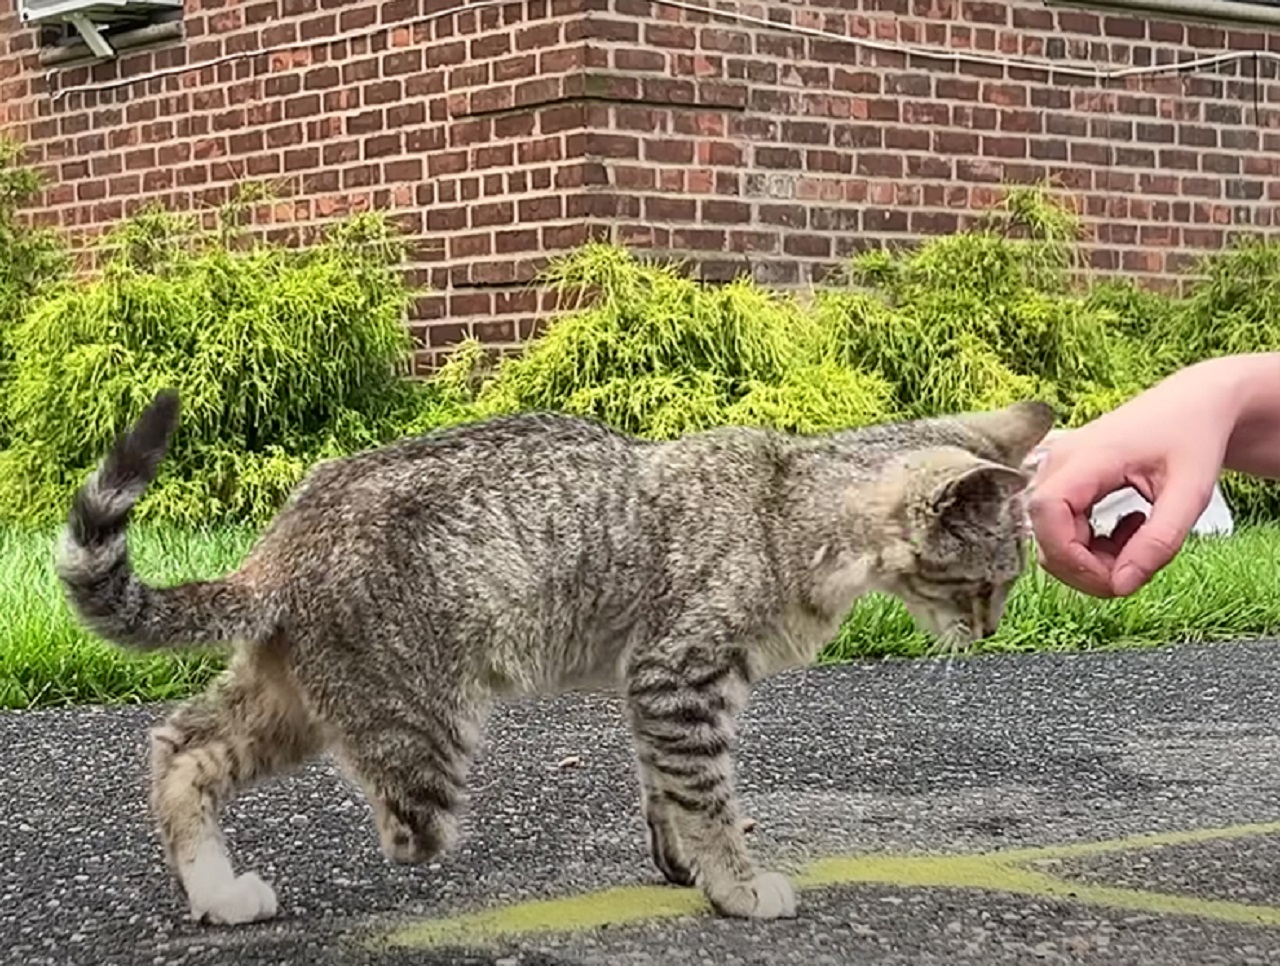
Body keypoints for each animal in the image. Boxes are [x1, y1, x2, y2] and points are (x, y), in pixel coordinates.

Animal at [55, 394, 1049, 931]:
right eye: (989, 583)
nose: (992, 629)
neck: (791, 510)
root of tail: (284, 537)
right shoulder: (680, 675)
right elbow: (707, 796)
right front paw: (735, 884)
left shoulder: (660, 690)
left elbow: (668, 791)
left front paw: (684, 867)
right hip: (418, 729)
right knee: (403, 824)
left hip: (290, 697)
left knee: (180, 749)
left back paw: (217, 894)